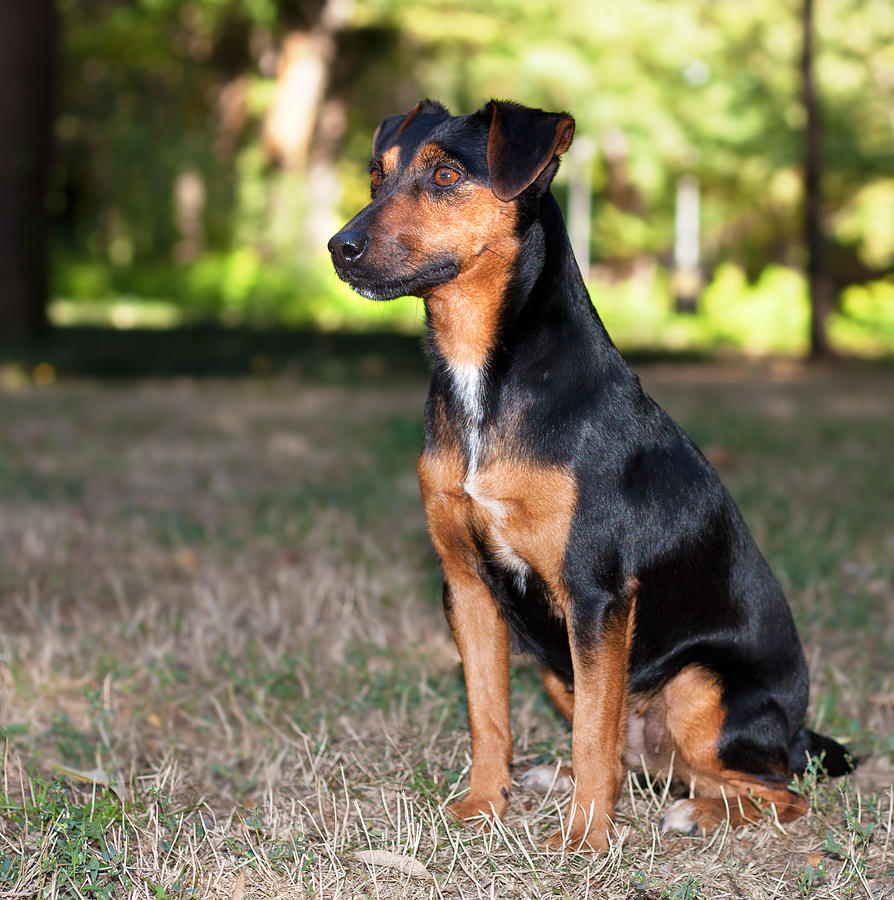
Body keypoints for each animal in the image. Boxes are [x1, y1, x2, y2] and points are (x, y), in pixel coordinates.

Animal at [328, 98, 856, 852]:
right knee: (636, 760)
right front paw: (483, 806)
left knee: (776, 791)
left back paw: (694, 814)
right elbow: (488, 715)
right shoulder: (467, 588)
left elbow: (590, 737)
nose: (338, 246)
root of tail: (797, 730)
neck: (485, 375)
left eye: (446, 175)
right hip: (559, 668)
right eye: (378, 175)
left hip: (697, 688)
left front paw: (583, 841)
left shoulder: (595, 593)